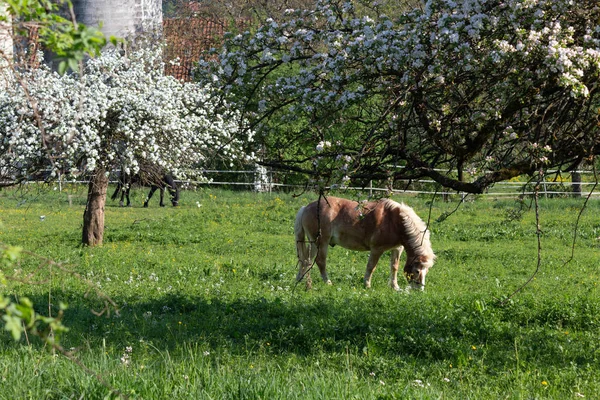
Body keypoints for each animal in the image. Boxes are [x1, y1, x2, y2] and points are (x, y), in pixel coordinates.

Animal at [296, 197, 434, 290]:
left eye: (426, 271)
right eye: (417, 271)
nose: (419, 290)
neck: (395, 220)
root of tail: (306, 208)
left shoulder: (397, 249)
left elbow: (394, 267)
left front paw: (395, 287)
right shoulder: (377, 249)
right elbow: (371, 266)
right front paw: (367, 285)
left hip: (314, 243)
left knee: (306, 260)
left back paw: (301, 281)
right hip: (322, 243)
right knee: (320, 262)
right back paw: (327, 282)